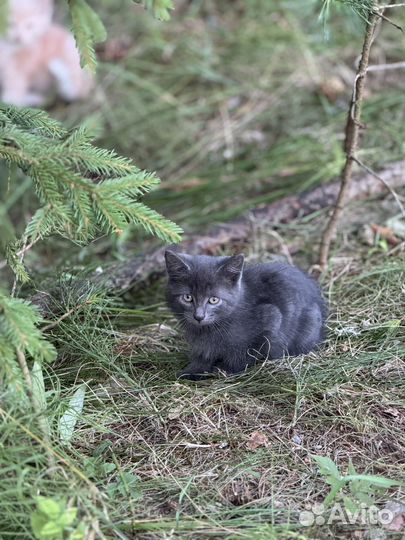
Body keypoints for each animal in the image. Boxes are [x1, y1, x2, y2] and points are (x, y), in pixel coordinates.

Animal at [164, 250, 326, 380]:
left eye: (214, 300)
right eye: (187, 297)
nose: (199, 316)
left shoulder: (271, 319)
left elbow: (244, 354)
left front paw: (223, 369)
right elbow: (203, 355)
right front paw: (193, 370)